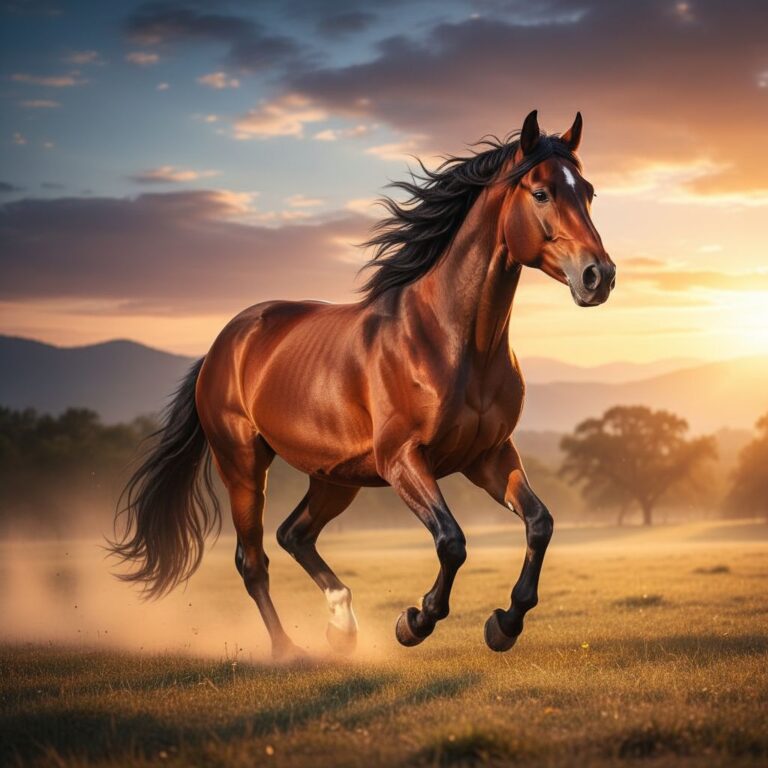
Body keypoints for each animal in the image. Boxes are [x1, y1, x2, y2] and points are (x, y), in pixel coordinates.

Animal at [109, 110, 616, 659]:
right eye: (541, 192)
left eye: (588, 191)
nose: (599, 276)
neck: (450, 340)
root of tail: (223, 345)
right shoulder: (403, 460)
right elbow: (452, 542)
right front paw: (415, 621)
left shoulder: (489, 456)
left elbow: (539, 524)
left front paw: (505, 623)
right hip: (243, 465)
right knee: (253, 560)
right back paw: (289, 650)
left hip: (336, 477)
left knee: (294, 535)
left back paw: (342, 626)